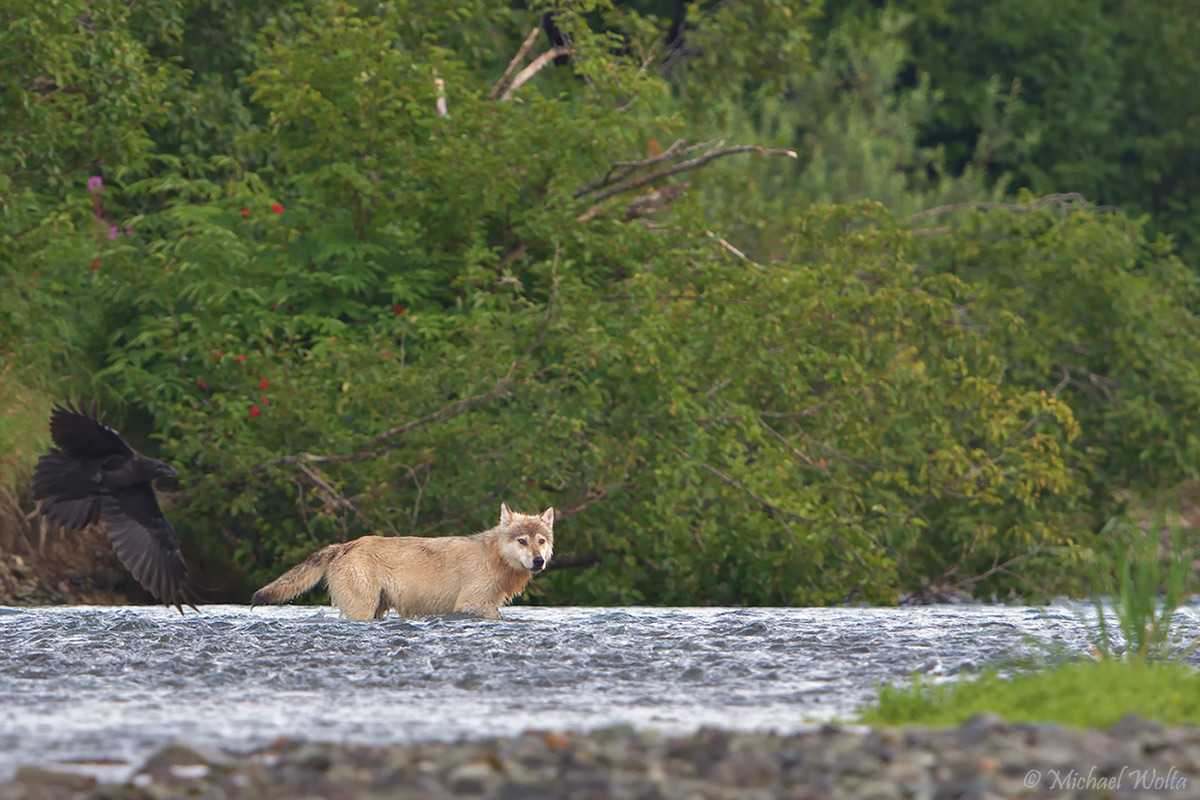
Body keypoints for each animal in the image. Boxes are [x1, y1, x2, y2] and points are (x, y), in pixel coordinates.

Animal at [253, 503, 556, 623]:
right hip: (363, 609)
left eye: (541, 541)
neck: (496, 558)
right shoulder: (469, 604)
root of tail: (344, 546)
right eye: (522, 541)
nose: (538, 561)